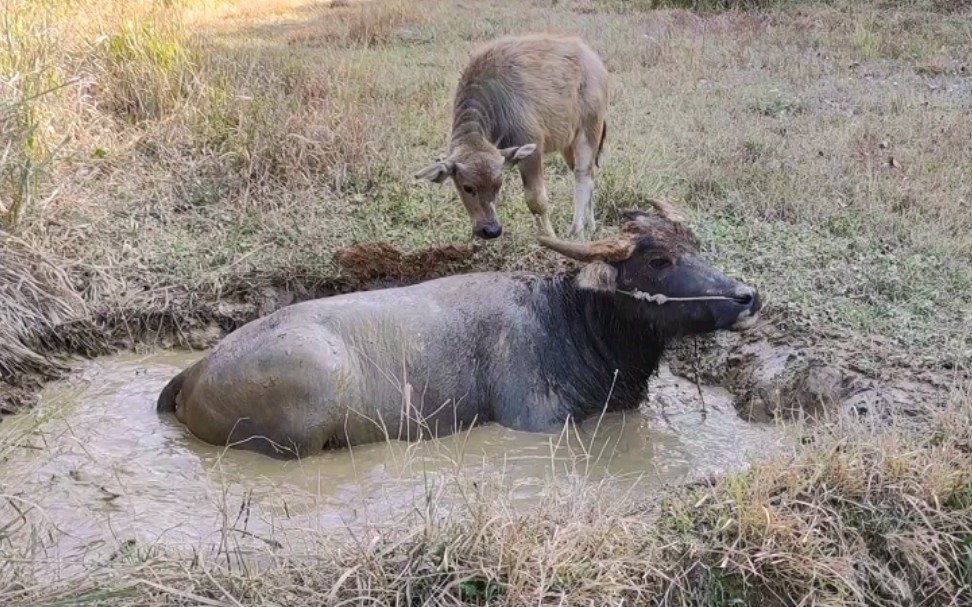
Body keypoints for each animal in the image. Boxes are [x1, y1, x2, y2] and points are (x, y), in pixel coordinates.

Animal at [158, 202, 760, 458]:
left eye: (694, 245)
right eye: (657, 259)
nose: (747, 298)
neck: (570, 320)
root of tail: (196, 370)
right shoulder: (536, 421)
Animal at [414, 33, 612, 241]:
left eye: (498, 185)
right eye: (467, 187)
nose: (491, 230)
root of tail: (595, 61)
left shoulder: (532, 151)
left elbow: (536, 200)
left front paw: (549, 237)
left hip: (589, 131)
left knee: (582, 177)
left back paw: (577, 230)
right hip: (568, 143)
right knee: (589, 176)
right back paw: (590, 225)